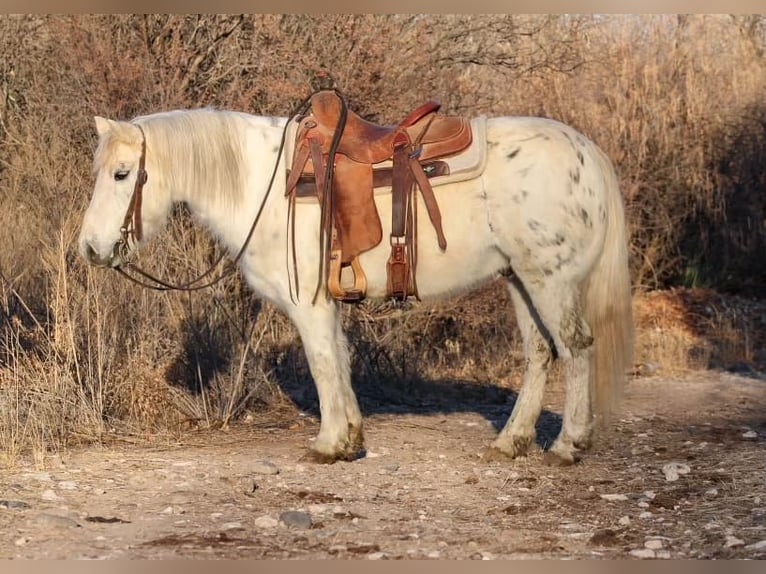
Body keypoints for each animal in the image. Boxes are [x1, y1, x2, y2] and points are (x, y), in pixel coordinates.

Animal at [78, 106, 634, 466]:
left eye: (122, 174)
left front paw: (328, 444)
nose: (90, 248)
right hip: (520, 279)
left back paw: (568, 445)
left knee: (576, 347)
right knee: (540, 354)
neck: (265, 187)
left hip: (550, 280)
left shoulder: (308, 304)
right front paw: (349, 440)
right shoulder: (327, 305)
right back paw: (511, 442)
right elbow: (339, 363)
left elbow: (323, 366)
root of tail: (588, 152)